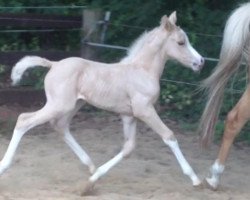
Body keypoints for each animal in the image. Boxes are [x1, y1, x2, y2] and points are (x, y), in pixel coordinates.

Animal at [0, 12, 203, 194]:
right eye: (181, 42)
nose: (200, 62)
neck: (142, 71)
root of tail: (54, 64)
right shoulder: (144, 110)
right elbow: (169, 136)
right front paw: (195, 179)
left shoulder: (128, 115)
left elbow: (128, 148)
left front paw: (91, 181)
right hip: (59, 105)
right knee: (24, 120)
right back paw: (4, 166)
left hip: (74, 105)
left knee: (60, 126)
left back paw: (90, 165)